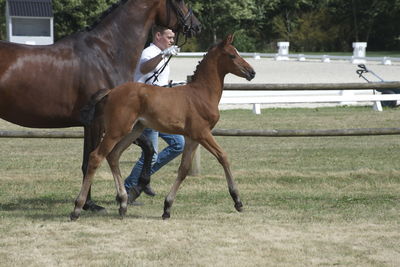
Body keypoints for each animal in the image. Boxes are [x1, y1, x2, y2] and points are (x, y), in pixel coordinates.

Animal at [70, 34, 255, 221]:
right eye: (232, 55)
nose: (252, 72)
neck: (201, 93)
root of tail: (110, 92)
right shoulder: (202, 133)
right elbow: (223, 157)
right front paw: (237, 201)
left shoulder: (192, 137)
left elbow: (183, 169)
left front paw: (167, 208)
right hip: (116, 130)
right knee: (96, 157)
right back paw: (77, 208)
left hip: (133, 130)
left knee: (113, 156)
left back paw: (122, 203)